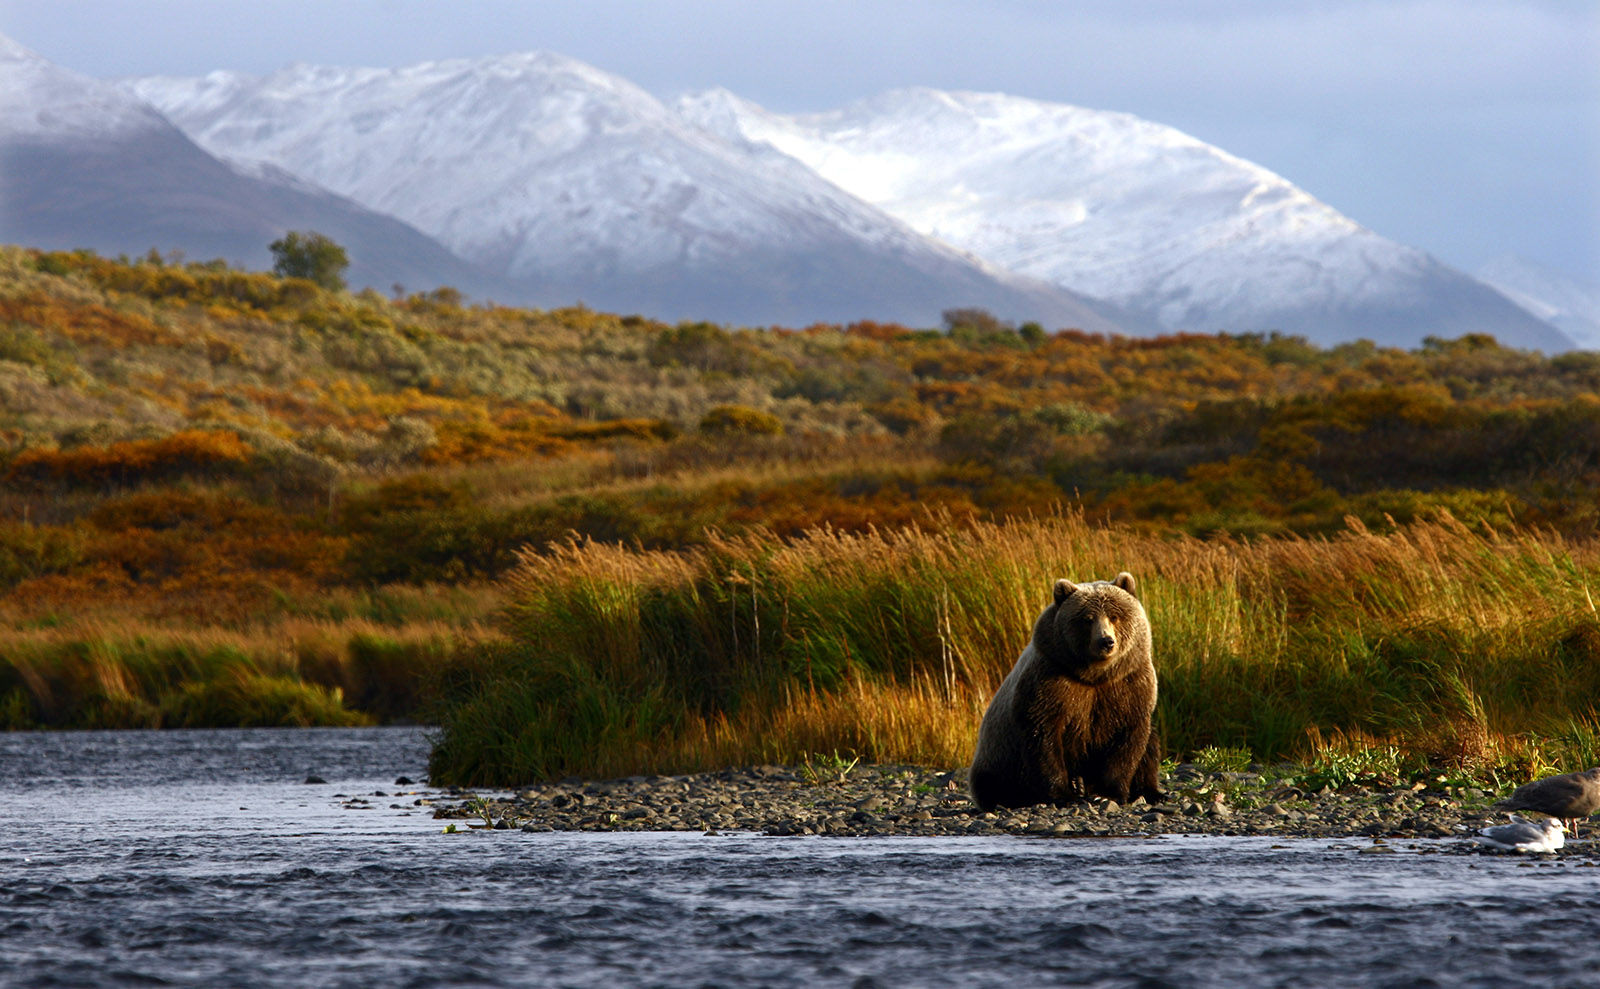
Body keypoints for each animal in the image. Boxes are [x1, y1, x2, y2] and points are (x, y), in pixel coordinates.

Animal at [960, 569, 1164, 809]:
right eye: (1087, 619)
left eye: (1114, 616)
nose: (1106, 641)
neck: (1095, 675)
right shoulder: (1052, 682)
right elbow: (1044, 738)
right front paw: (1063, 795)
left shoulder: (1128, 685)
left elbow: (1128, 742)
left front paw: (1107, 793)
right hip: (997, 756)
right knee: (994, 782)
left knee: (1150, 747)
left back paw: (1151, 792)